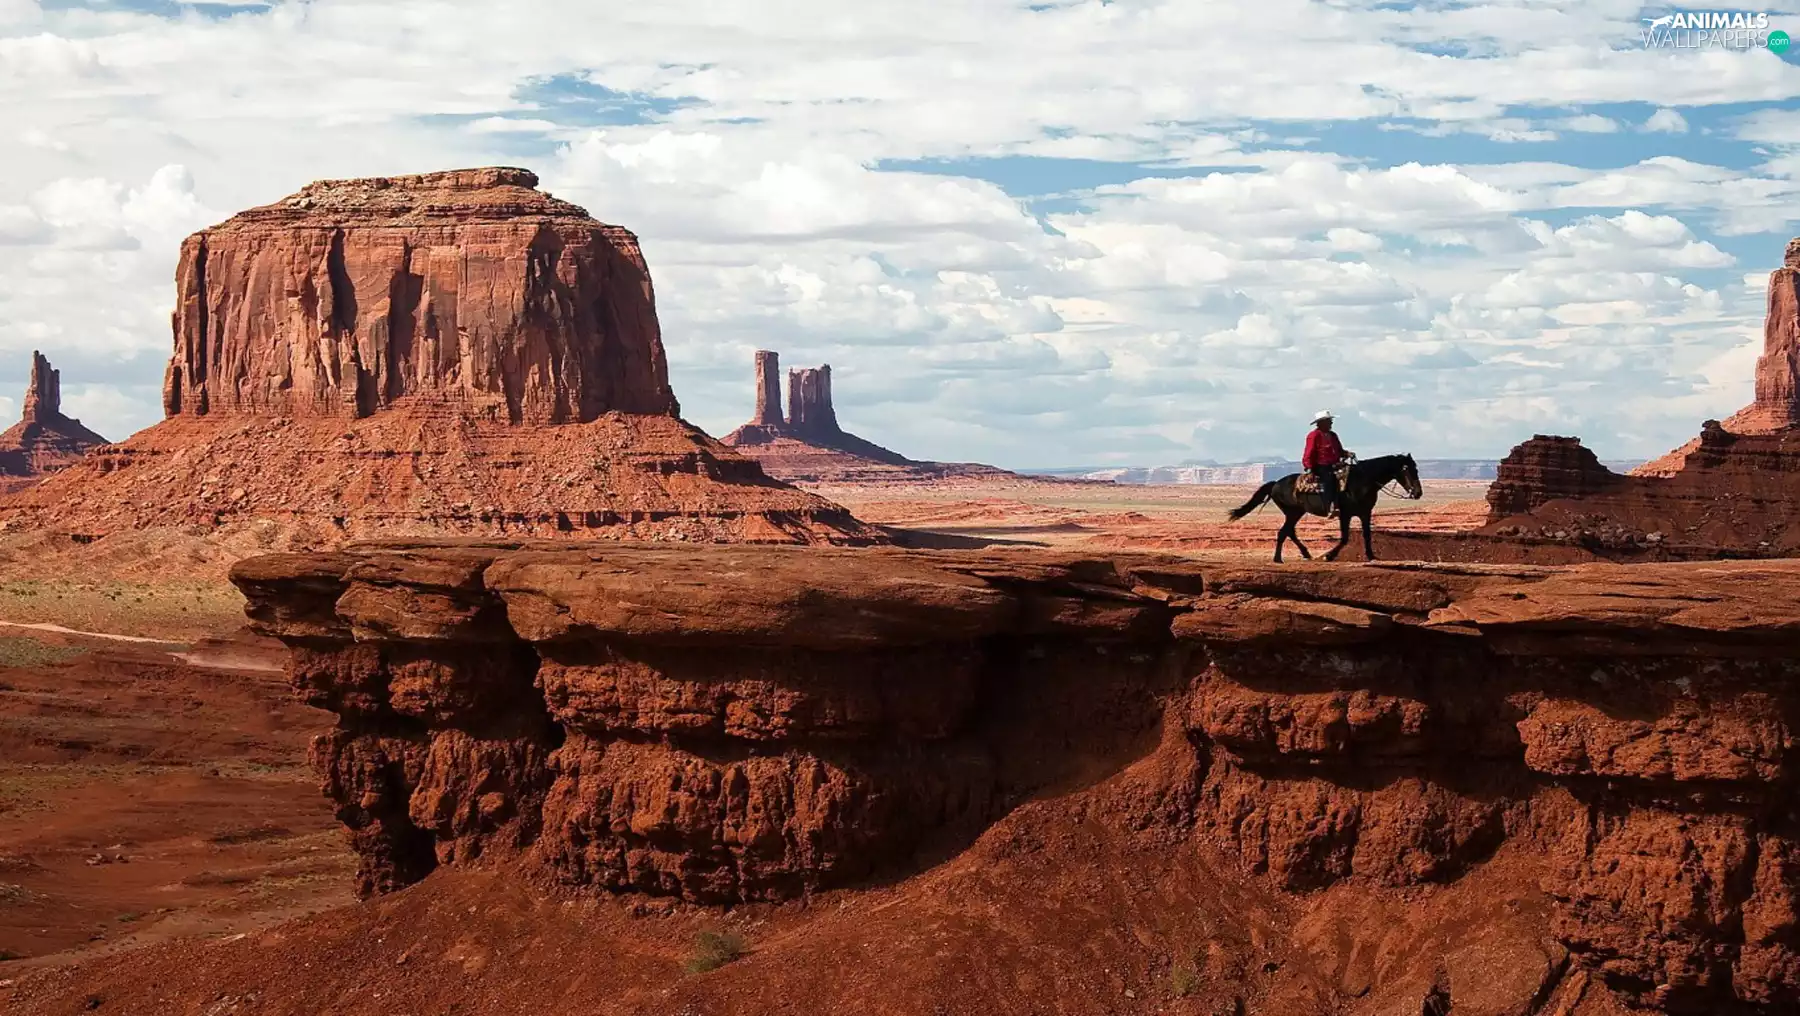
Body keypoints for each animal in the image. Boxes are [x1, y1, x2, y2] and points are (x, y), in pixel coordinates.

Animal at [1224, 454, 1424, 563]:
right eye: (1408, 469)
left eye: (1417, 469)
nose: (1418, 493)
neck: (1362, 481)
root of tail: (1275, 483)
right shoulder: (1345, 514)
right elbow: (1344, 538)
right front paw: (1329, 556)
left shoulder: (1365, 513)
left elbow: (1367, 535)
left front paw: (1371, 556)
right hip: (1293, 512)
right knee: (1284, 532)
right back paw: (1278, 558)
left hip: (1296, 512)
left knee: (1289, 532)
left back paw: (1304, 553)